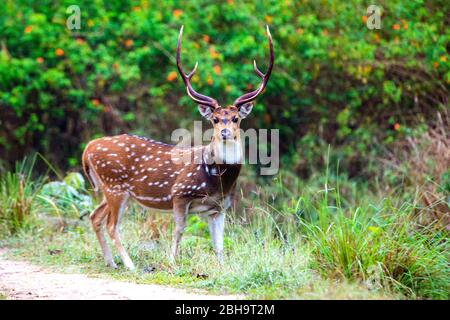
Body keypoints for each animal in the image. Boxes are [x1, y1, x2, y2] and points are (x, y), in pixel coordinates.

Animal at [82, 25, 276, 270]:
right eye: (214, 119)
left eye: (235, 118)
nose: (224, 132)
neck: (218, 179)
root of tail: (88, 148)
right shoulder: (180, 193)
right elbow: (179, 230)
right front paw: (173, 262)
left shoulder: (220, 207)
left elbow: (219, 244)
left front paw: (223, 268)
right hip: (114, 185)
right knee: (111, 225)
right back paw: (129, 264)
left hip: (107, 188)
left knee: (94, 216)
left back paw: (111, 263)